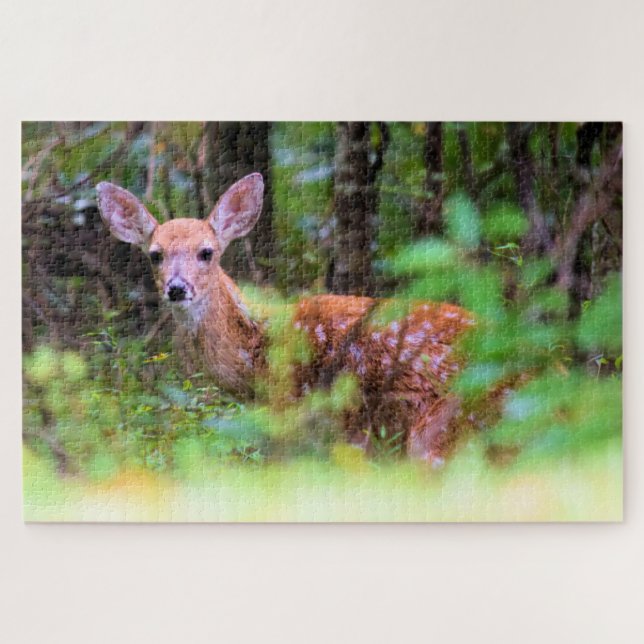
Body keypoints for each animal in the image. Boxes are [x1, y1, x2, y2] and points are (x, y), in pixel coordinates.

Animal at [97, 173, 476, 465]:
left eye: (206, 252)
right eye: (155, 255)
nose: (176, 287)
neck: (255, 354)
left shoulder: (295, 417)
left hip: (439, 431)